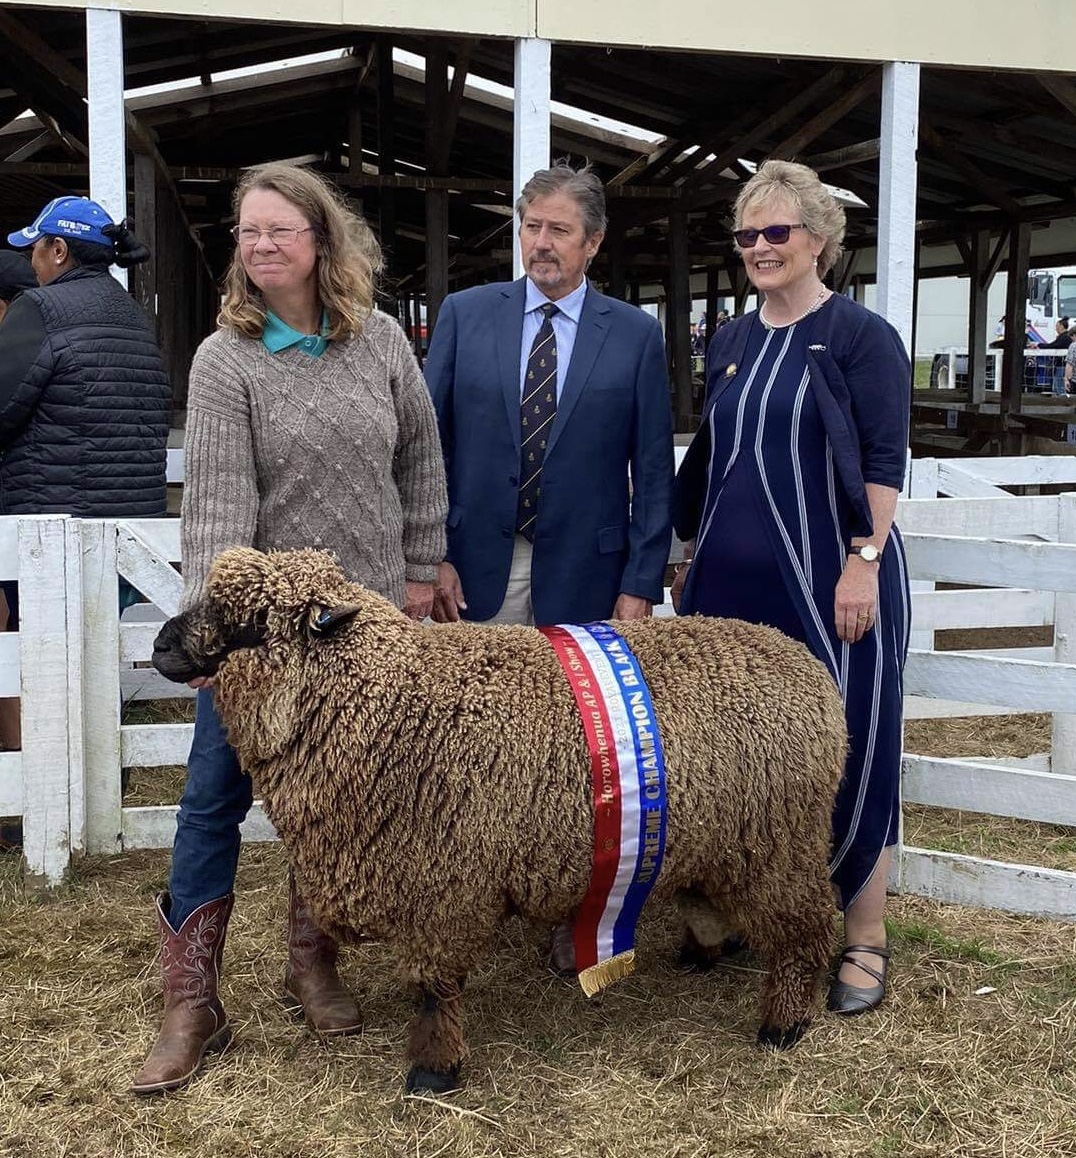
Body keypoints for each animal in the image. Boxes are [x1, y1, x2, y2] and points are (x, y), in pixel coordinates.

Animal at [150, 546, 852, 1088]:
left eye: (251, 623)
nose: (159, 643)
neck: (388, 705)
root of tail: (809, 667)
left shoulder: (443, 886)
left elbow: (434, 989)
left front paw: (433, 1071)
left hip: (782, 840)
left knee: (808, 925)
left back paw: (785, 1022)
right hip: (723, 835)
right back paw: (704, 952)